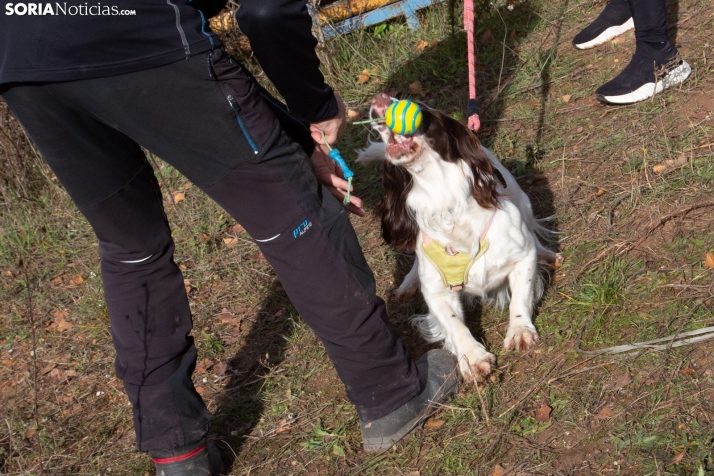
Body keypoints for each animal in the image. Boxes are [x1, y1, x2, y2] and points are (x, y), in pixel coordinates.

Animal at [356, 94, 560, 384]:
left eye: (421, 108)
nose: (378, 98)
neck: (447, 205)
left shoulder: (522, 256)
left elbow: (520, 295)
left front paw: (520, 330)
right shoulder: (437, 292)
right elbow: (454, 323)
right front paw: (473, 358)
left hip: (522, 199)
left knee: (533, 229)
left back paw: (548, 254)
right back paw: (408, 284)